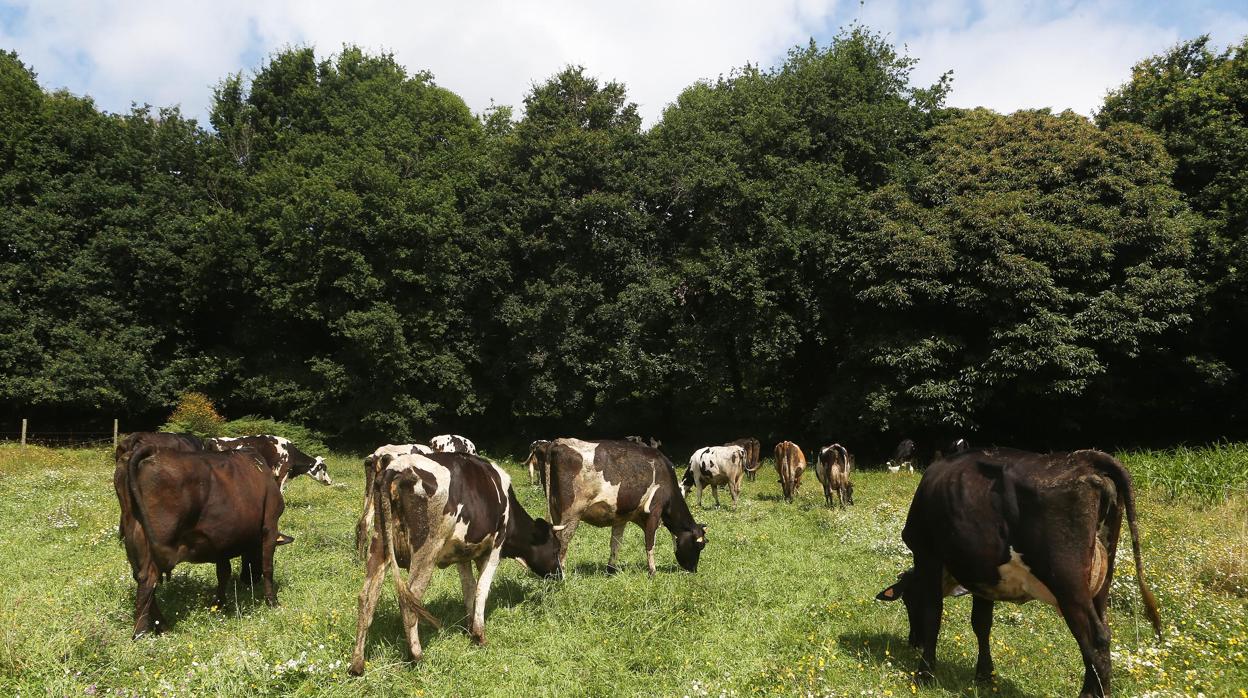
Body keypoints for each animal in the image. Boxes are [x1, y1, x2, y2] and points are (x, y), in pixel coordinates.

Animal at [120, 447, 285, 639]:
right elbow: (268, 568)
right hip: (159, 542)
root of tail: (152, 453)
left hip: (135, 538)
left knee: (141, 579)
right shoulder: (270, 525)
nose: (249, 579)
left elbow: (223, 573)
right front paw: (272, 602)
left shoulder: (221, 540)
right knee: (148, 580)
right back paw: (141, 632)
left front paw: (219, 605)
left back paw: (162, 626)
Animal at [346, 449, 561, 674]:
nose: (560, 574)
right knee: (410, 597)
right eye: (556, 548)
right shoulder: (494, 550)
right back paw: (416, 656)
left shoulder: (462, 554)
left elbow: (468, 588)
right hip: (427, 549)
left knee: (366, 597)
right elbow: (481, 590)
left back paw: (357, 664)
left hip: (379, 545)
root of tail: (396, 469)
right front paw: (479, 635)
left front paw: (469, 627)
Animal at [544, 439, 708, 576]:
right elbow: (650, 543)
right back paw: (561, 577)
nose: (694, 570)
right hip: (571, 515)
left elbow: (616, 544)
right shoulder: (654, 511)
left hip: (556, 513)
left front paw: (611, 570)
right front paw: (653, 572)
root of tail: (558, 442)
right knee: (563, 542)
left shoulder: (621, 517)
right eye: (699, 546)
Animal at [878, 449, 1158, 694]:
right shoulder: (983, 574)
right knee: (1103, 632)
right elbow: (981, 623)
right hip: (1101, 581)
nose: (913, 641)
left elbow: (932, 615)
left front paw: (924, 674)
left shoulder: (928, 555)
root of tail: (1084, 458)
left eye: (907, 600)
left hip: (1068, 585)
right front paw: (985, 675)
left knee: (1096, 639)